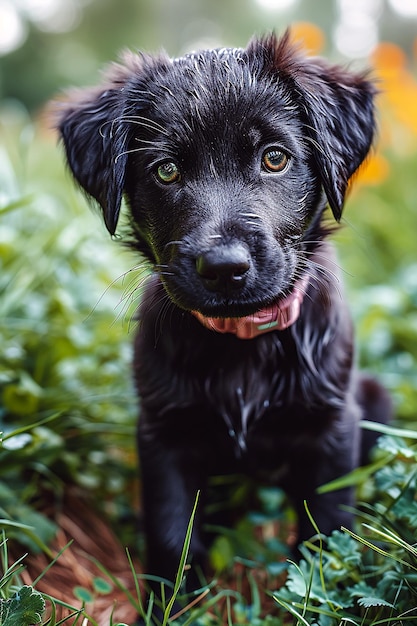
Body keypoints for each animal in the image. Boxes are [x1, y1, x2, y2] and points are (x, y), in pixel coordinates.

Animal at [57, 31, 388, 612]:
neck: (243, 347)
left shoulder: (331, 426)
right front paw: (168, 607)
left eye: (274, 158)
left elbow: (325, 529)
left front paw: (316, 598)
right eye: (166, 170)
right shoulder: (164, 433)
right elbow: (172, 530)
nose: (224, 267)